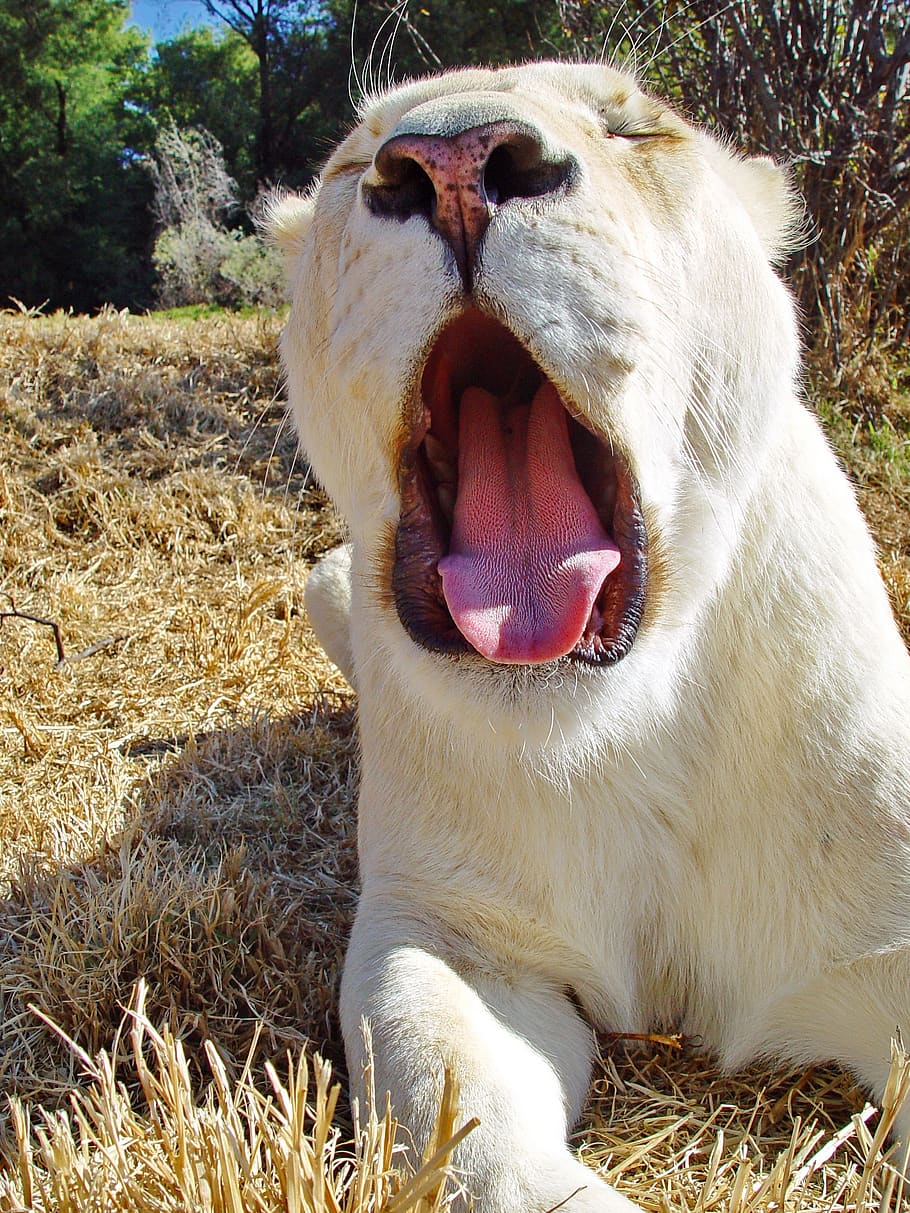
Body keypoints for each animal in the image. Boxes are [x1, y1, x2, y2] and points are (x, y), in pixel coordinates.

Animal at [269, 63, 910, 1213]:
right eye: (355, 161)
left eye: (634, 130)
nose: (450, 163)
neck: (622, 722)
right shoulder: (445, 932)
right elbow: (465, 1131)